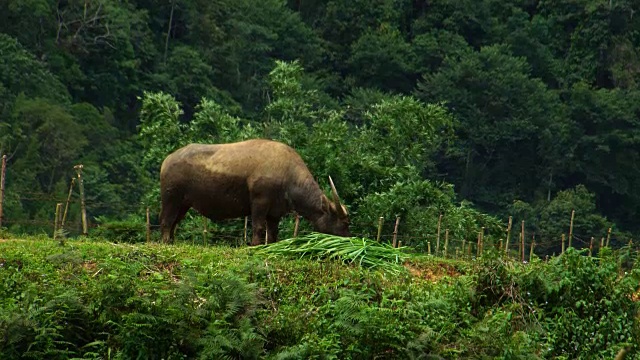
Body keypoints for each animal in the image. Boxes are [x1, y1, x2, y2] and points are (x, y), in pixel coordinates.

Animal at [159, 138, 350, 245]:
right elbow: (258, 227)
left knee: (174, 222)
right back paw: (166, 241)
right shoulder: (259, 202)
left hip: (183, 204)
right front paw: (255, 245)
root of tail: (167, 160)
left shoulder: (274, 213)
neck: (287, 173)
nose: (348, 238)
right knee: (166, 221)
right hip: (171, 198)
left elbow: (272, 233)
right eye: (343, 223)